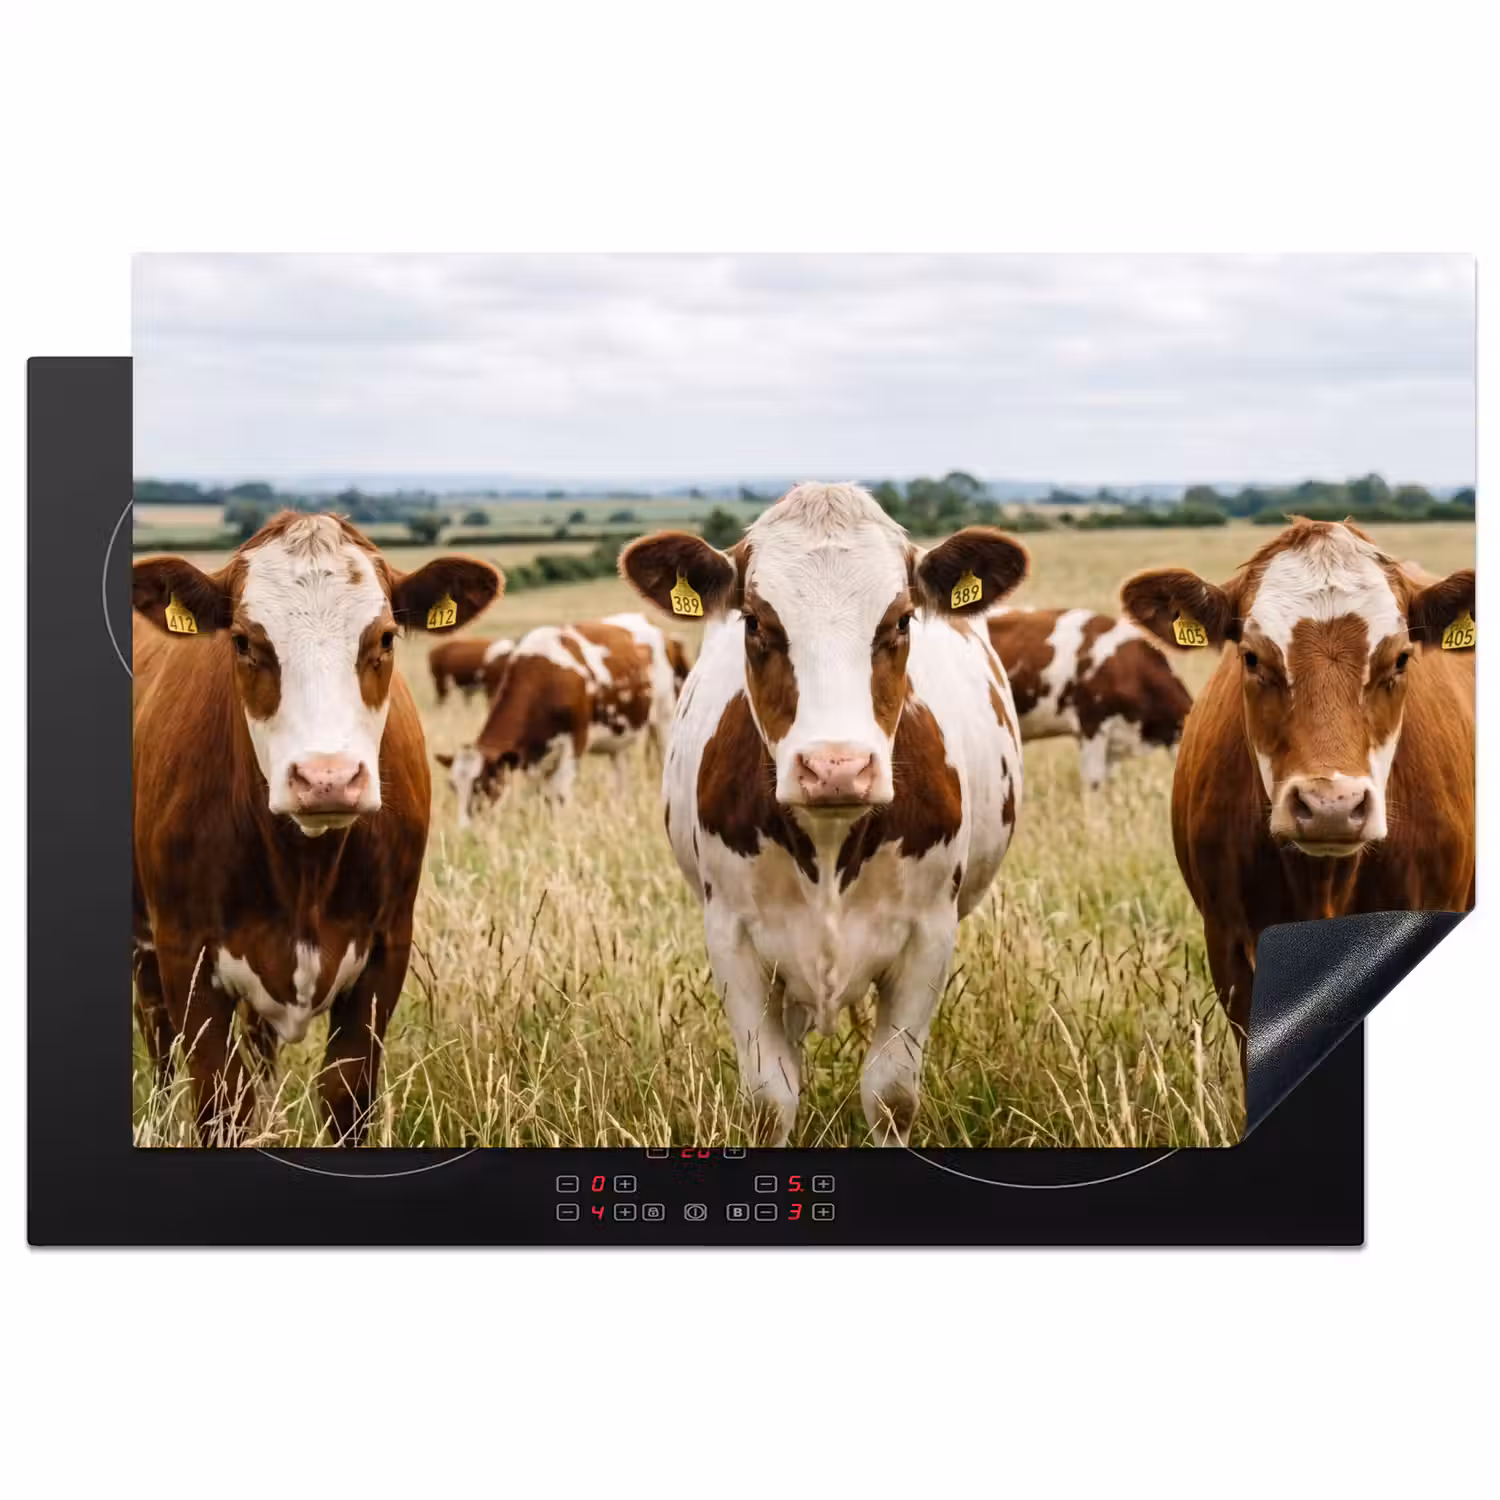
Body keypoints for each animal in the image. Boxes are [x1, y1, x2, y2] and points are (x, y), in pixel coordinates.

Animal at [132, 512, 501, 1144]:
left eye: (384, 638)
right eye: (243, 641)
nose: (327, 778)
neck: (303, 869)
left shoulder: (386, 948)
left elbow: (345, 1093)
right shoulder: (186, 953)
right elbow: (218, 1101)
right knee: (158, 1043)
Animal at [439, 619, 655, 824]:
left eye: (483, 784)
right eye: (452, 786)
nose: (465, 830)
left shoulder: (575, 743)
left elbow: (561, 795)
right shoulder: (534, 757)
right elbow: (545, 797)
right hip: (619, 741)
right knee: (621, 777)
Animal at [620, 482, 1029, 1146]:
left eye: (901, 620)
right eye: (756, 622)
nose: (837, 767)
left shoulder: (930, 935)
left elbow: (891, 1094)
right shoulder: (731, 937)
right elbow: (770, 1098)